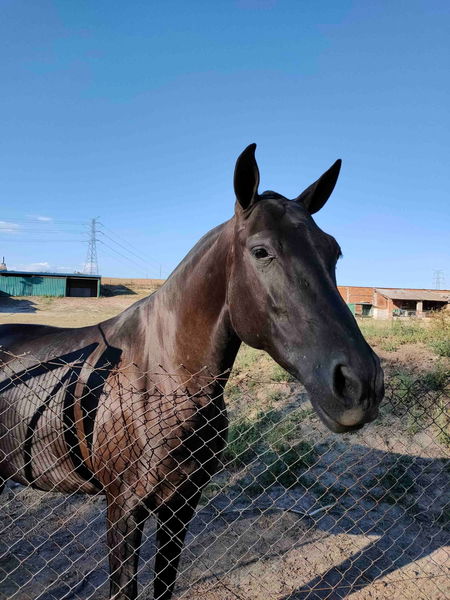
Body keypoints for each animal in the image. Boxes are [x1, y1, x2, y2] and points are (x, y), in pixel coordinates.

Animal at [0, 145, 384, 600]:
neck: (161, 380)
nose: (360, 384)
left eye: (333, 251)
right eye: (261, 251)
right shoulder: (123, 508)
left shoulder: (181, 503)